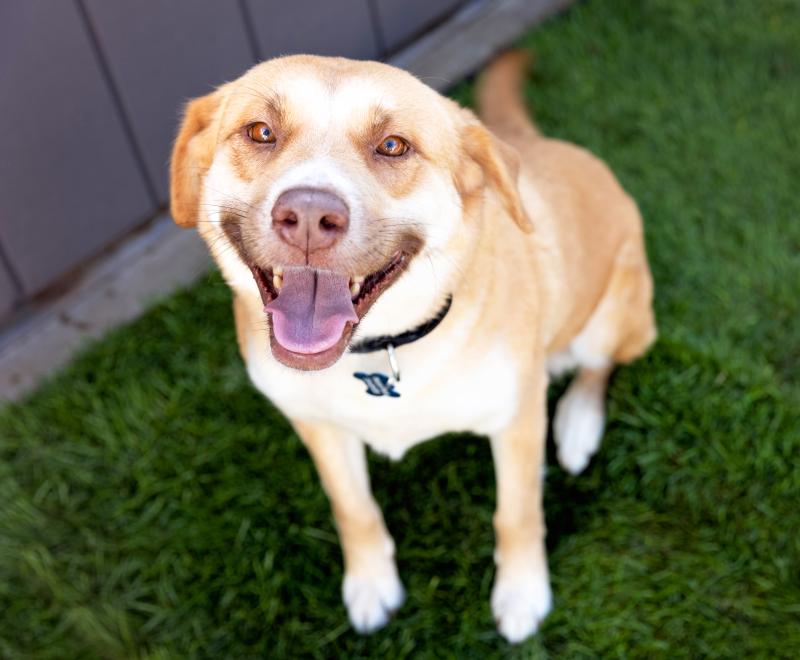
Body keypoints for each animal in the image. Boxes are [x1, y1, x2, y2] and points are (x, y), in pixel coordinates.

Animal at [169, 52, 656, 644]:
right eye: (261, 131)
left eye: (393, 145)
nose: (307, 218)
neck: (378, 348)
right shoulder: (316, 425)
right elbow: (353, 508)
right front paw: (371, 583)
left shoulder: (515, 421)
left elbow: (516, 515)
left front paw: (522, 592)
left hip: (616, 314)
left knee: (595, 367)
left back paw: (577, 423)